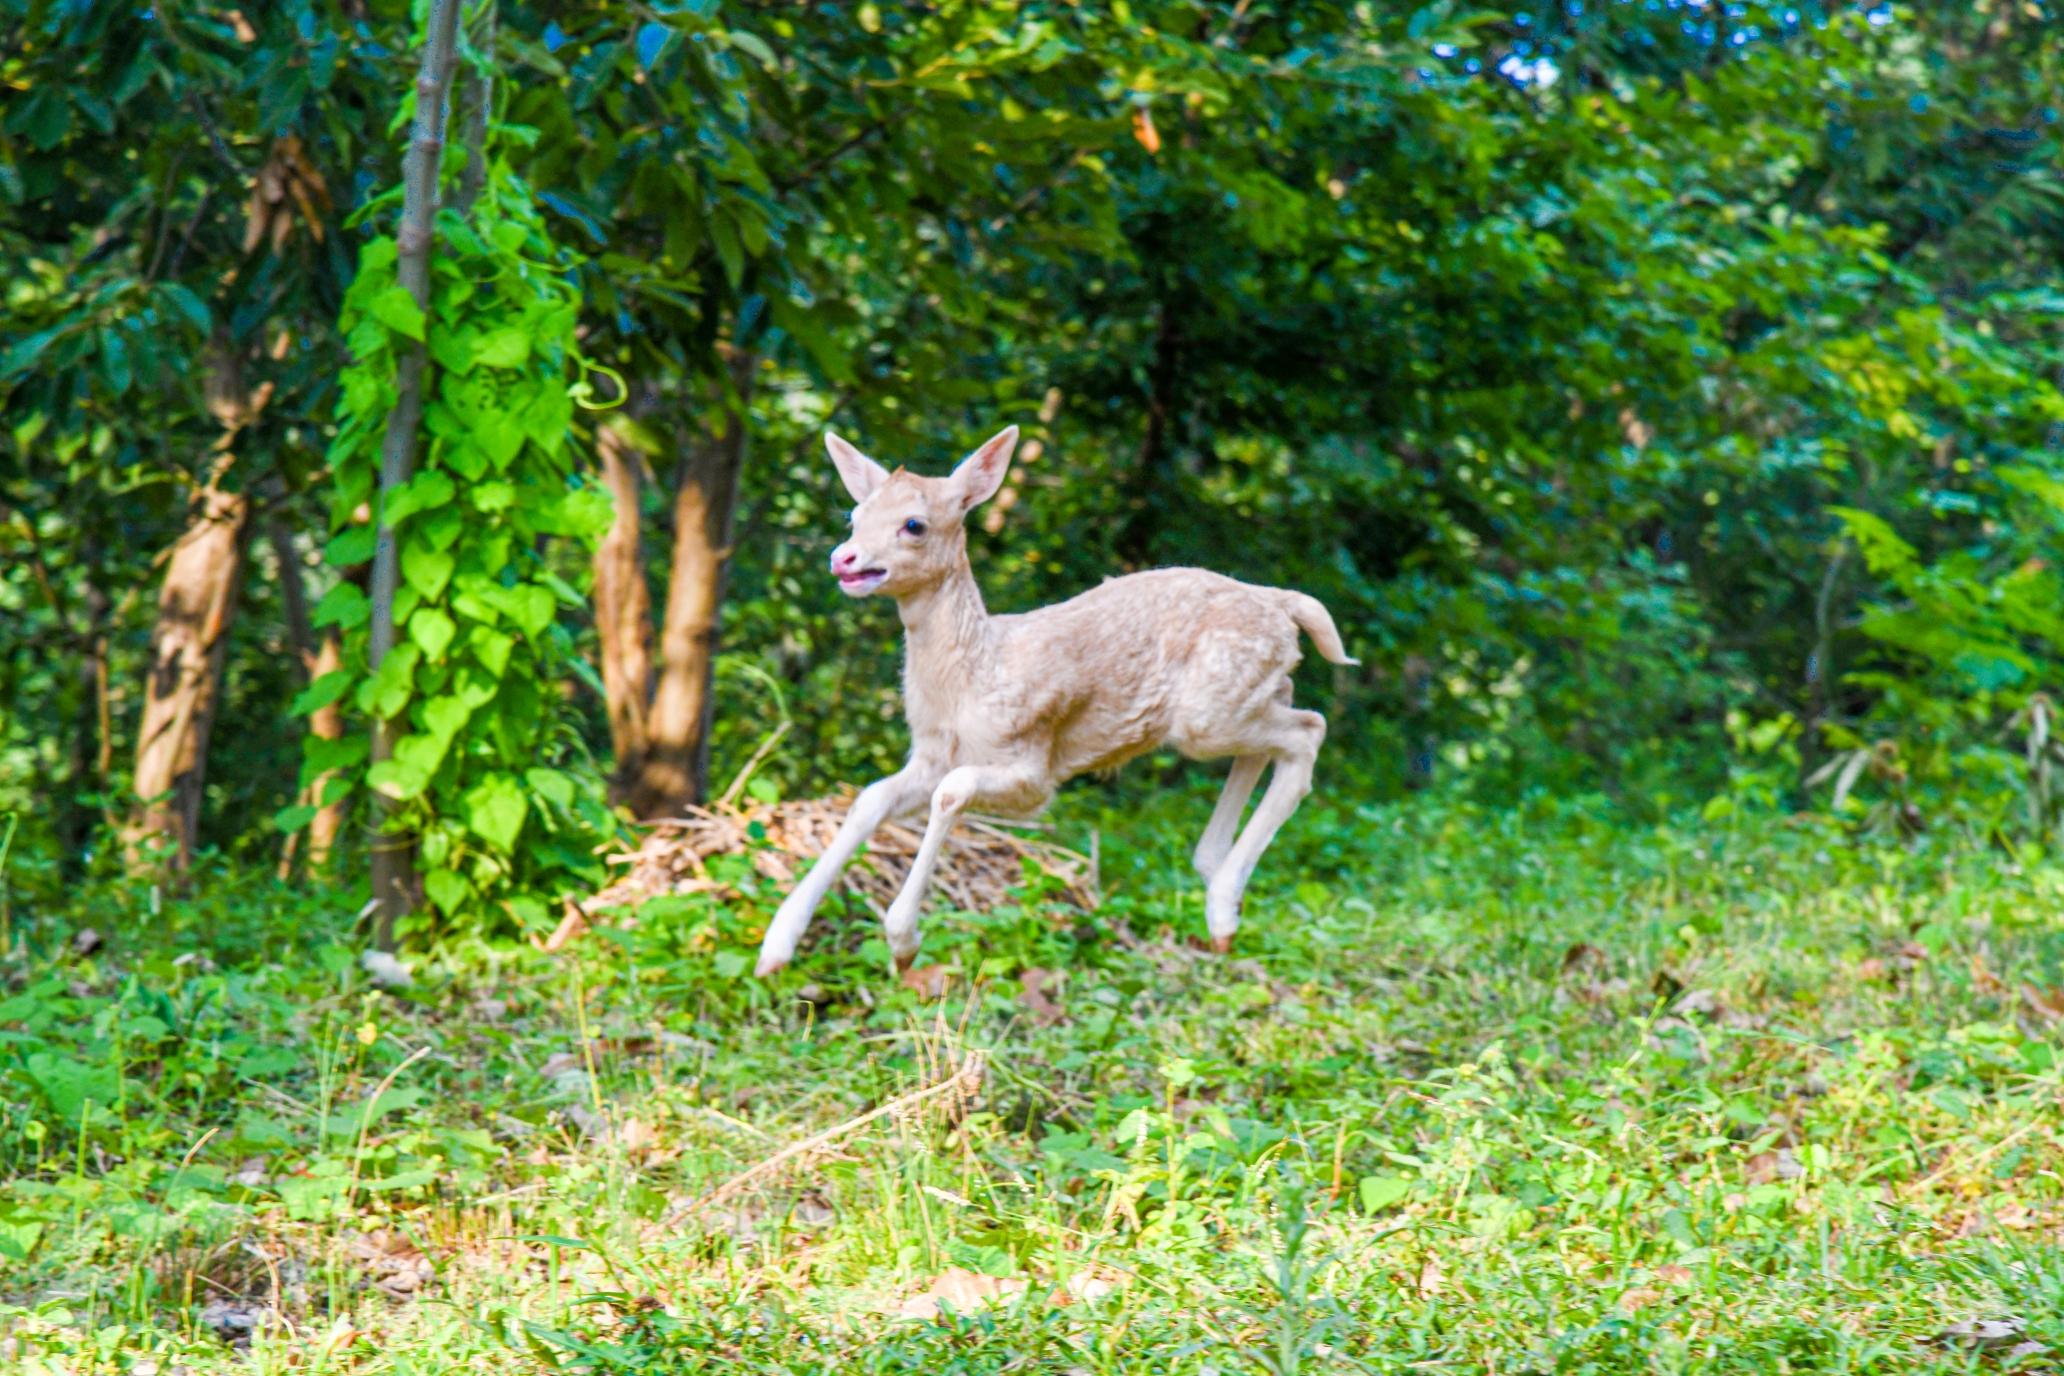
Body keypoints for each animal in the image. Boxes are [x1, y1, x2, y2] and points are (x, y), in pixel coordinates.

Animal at [759, 424, 1353, 973]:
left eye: (914, 524)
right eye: (854, 516)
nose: (844, 558)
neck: (972, 679)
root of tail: (1283, 601)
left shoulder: (1032, 766)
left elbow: (952, 793)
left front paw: (904, 943)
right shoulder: (931, 754)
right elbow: (871, 799)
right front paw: (776, 947)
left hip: (1208, 714)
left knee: (1310, 728)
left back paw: (1223, 909)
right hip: (1230, 702)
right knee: (1281, 721)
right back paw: (1217, 885)